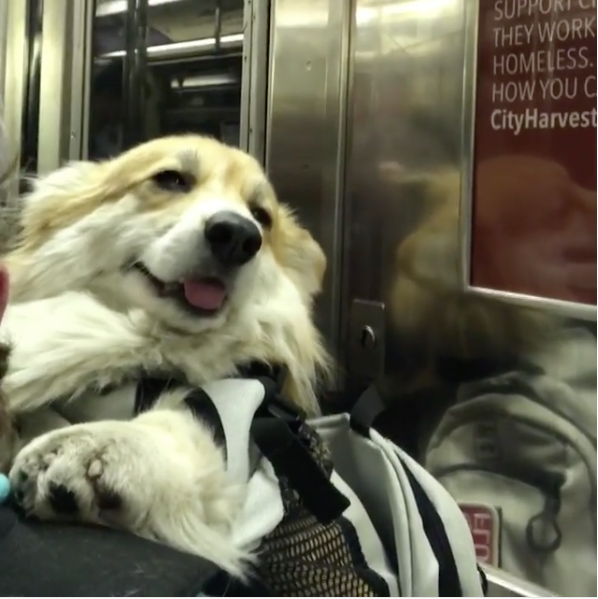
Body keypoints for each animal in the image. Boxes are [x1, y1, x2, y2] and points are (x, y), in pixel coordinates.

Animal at [0, 134, 332, 577]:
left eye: (262, 216)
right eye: (171, 179)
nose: (238, 235)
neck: (146, 342)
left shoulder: (238, 424)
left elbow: (179, 428)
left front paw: (101, 449)